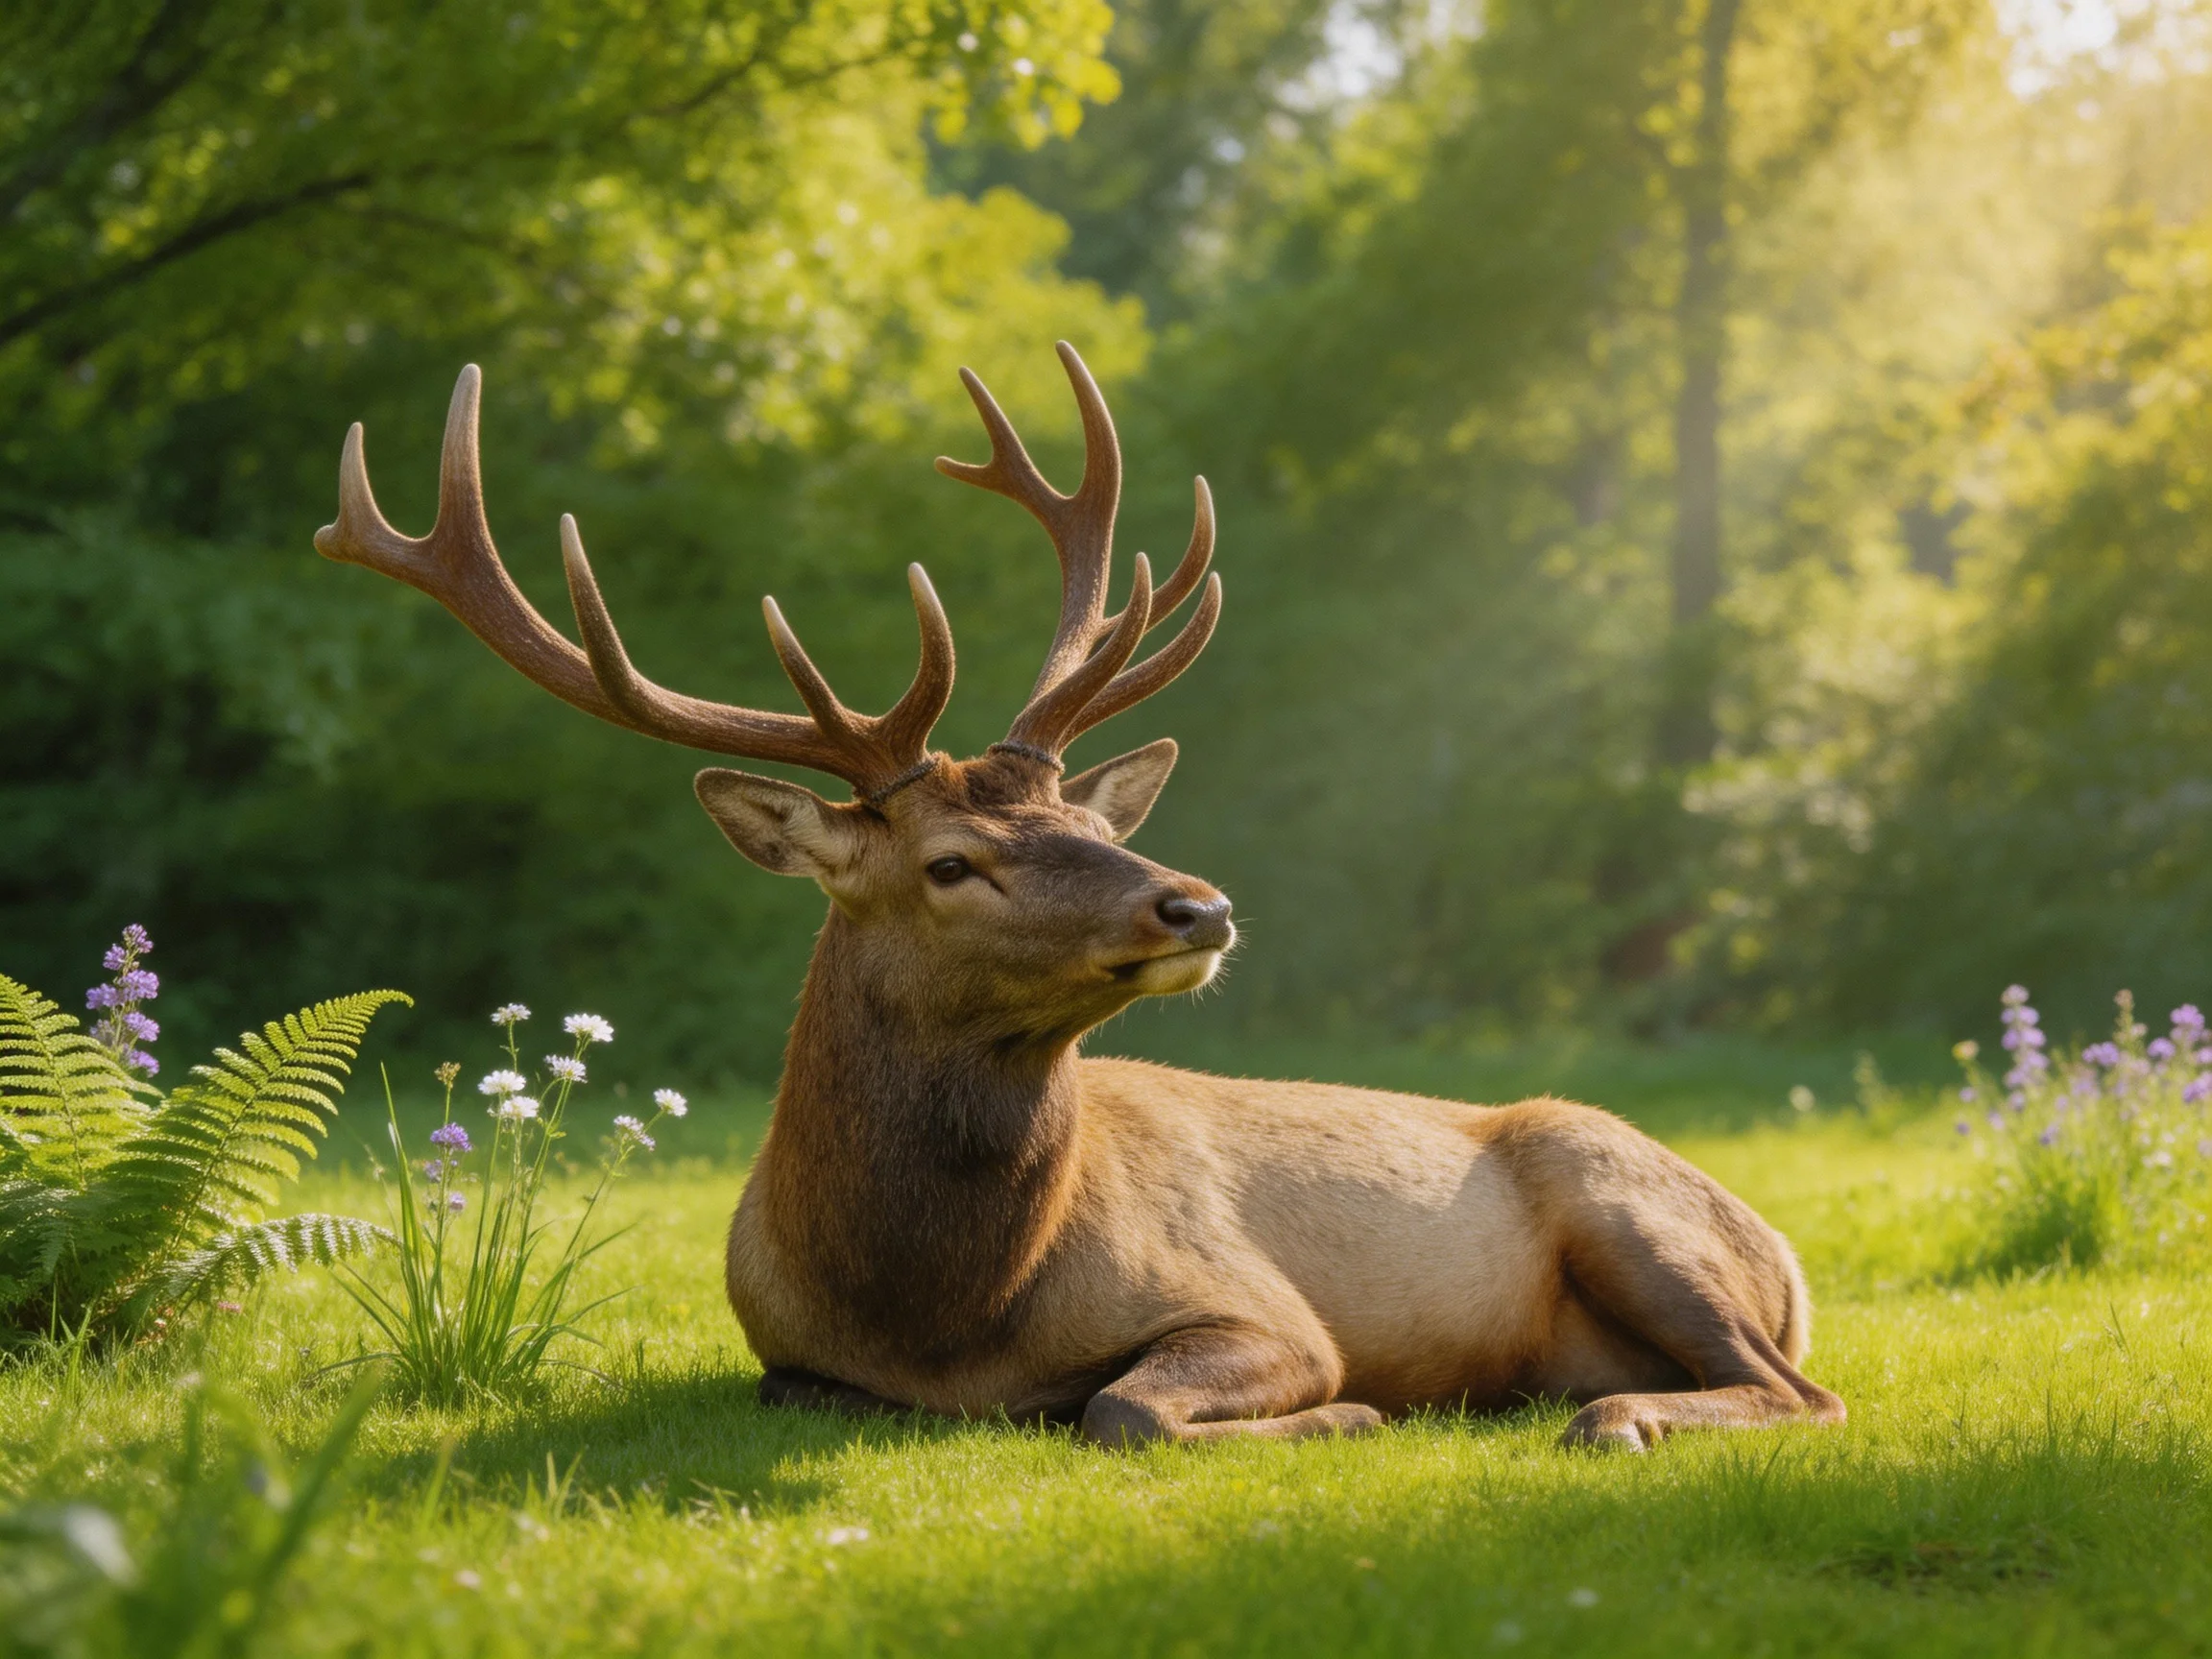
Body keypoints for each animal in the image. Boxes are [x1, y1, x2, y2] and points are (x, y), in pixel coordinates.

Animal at [315, 345, 1845, 1451]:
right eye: (951, 862)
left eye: (1079, 820)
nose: (1199, 908)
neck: (949, 1311)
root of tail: (1790, 1256)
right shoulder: (780, 1353)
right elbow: (807, 1388)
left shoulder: (1256, 1305)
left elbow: (1125, 1409)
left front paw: (1351, 1411)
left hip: (1629, 1200)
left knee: (1802, 1391)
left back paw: (1618, 1417)